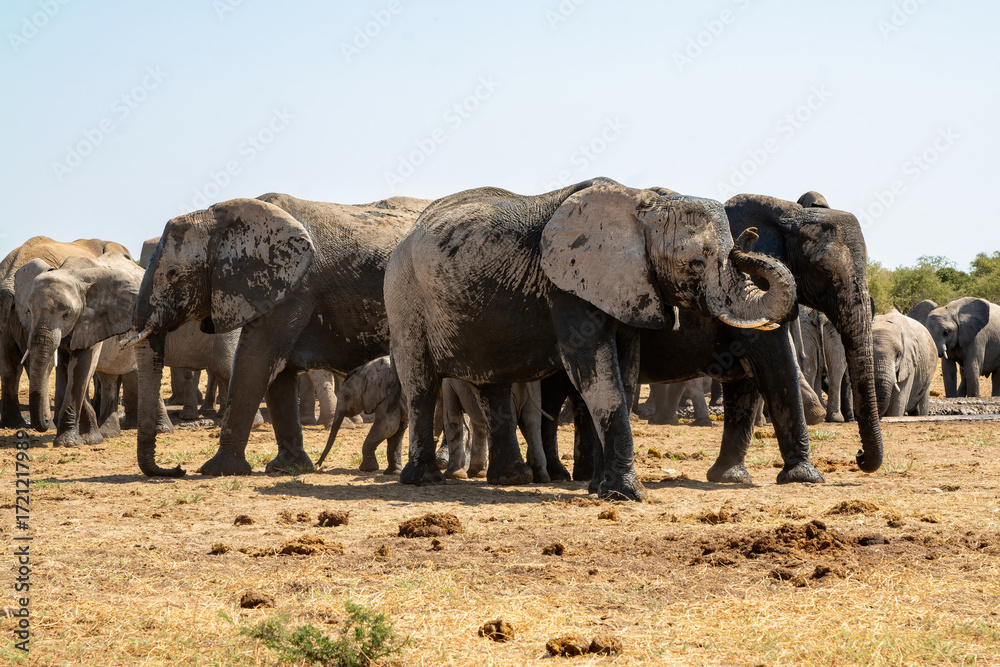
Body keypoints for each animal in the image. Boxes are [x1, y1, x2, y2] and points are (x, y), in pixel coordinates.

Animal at [125, 193, 431, 477]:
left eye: (173, 273)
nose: (177, 468)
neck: (221, 219)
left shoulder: (293, 289)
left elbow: (256, 362)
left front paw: (216, 470)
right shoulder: (269, 290)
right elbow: (278, 373)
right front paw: (288, 467)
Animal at [385, 179, 796, 501]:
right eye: (695, 263)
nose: (749, 238)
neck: (643, 206)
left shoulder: (630, 287)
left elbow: (625, 375)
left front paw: (602, 488)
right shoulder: (568, 287)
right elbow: (596, 374)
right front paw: (628, 494)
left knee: (492, 383)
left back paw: (510, 478)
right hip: (405, 298)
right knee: (420, 384)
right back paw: (424, 480)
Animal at [546, 189, 884, 488]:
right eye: (824, 268)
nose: (859, 456)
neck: (789, 214)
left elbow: (747, 381)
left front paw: (729, 477)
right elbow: (775, 370)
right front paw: (805, 477)